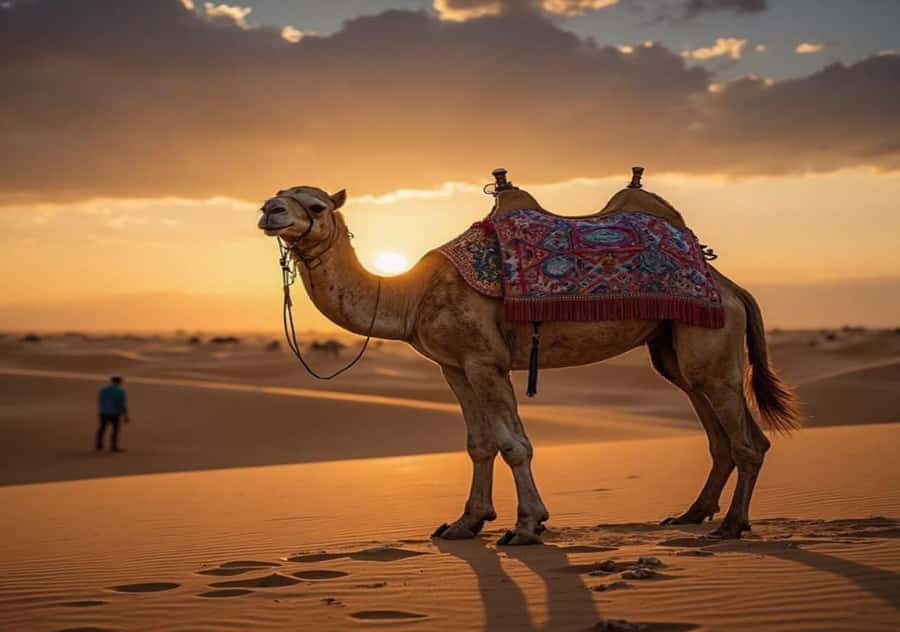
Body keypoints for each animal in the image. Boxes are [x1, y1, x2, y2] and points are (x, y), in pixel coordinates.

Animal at [257, 184, 799, 545]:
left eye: (315, 205)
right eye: (279, 194)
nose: (268, 210)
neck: (412, 296)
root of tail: (731, 286)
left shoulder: (485, 361)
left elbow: (513, 445)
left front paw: (527, 525)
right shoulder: (454, 367)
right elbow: (478, 444)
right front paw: (465, 523)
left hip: (715, 345)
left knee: (746, 440)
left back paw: (730, 526)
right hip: (676, 350)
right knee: (714, 424)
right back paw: (690, 516)